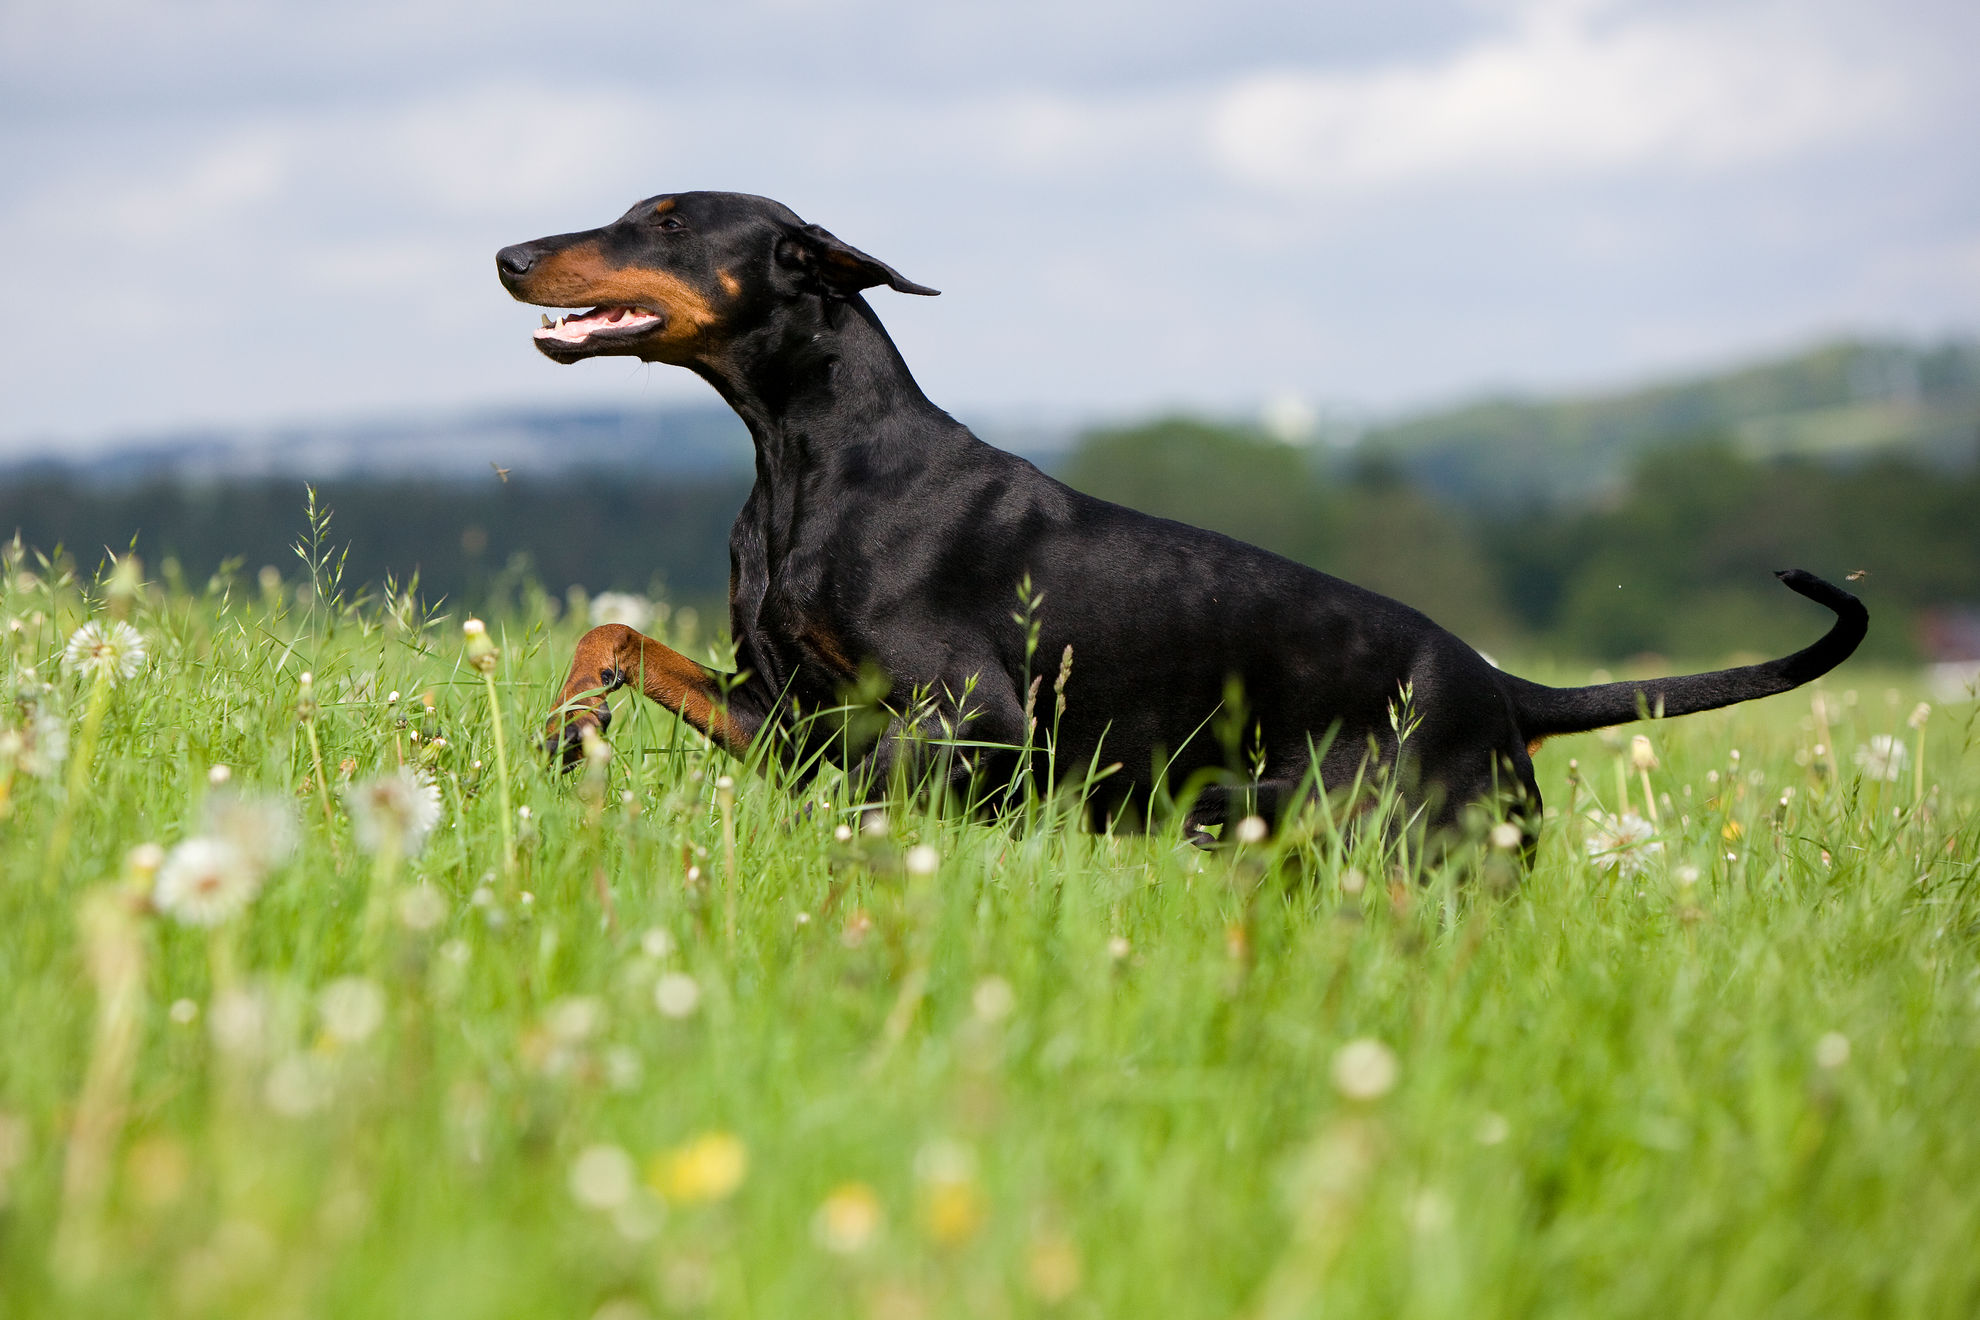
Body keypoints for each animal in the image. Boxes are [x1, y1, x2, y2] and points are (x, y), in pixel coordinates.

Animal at [491, 190, 1853, 843]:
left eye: (668, 220)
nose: (507, 255)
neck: (804, 462)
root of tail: (1507, 690)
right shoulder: (786, 717)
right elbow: (620, 639)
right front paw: (570, 725)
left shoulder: (968, 721)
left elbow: (890, 787)